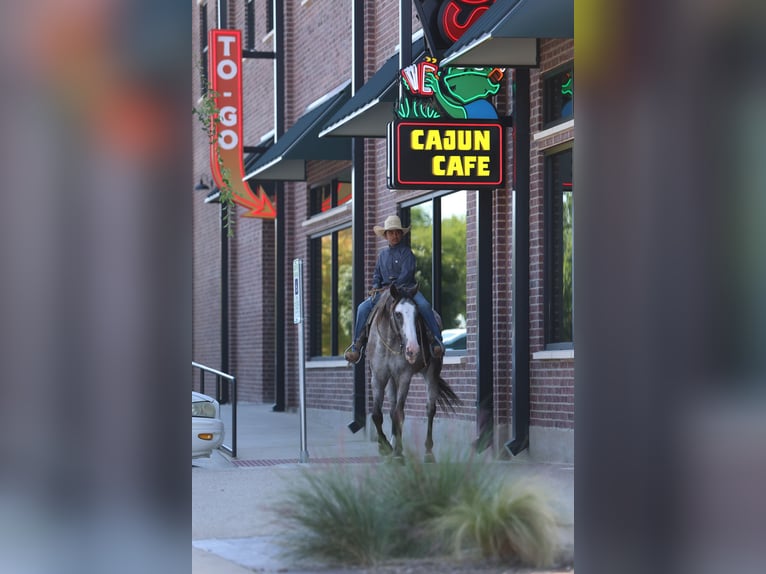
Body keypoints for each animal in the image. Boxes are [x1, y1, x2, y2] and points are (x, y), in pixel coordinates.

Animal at [368, 284, 460, 464]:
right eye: (398, 314)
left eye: (417, 314)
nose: (413, 349)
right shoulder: (378, 377)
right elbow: (377, 414)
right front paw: (385, 447)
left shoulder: (404, 377)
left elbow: (399, 414)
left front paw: (397, 453)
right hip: (391, 380)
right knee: (391, 409)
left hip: (432, 372)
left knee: (430, 409)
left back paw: (428, 452)